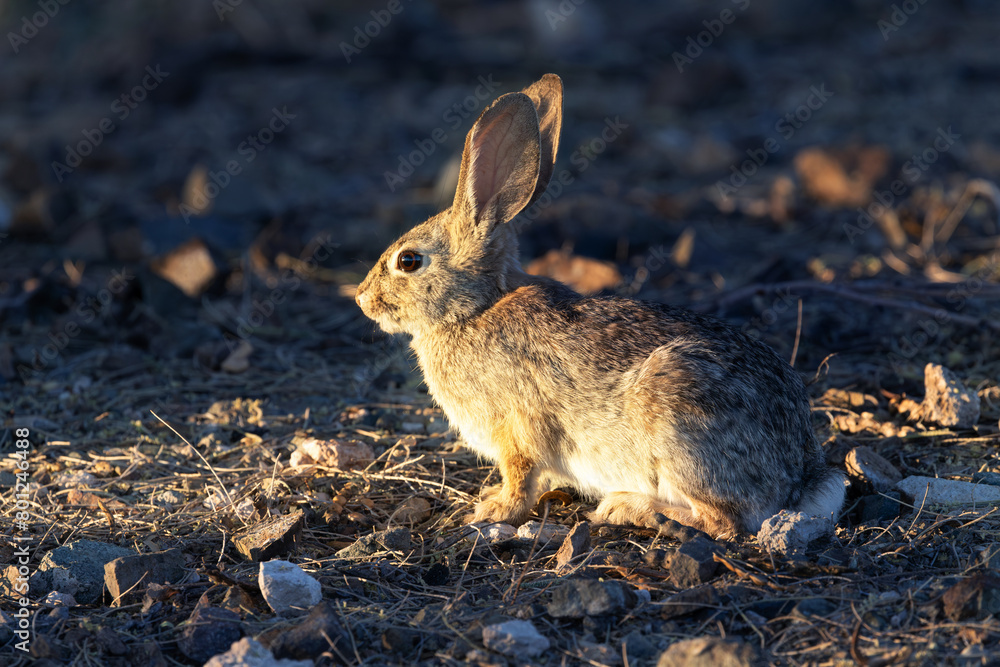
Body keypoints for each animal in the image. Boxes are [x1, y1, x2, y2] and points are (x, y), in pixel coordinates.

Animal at [355, 74, 845, 538]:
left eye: (408, 261)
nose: (361, 298)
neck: (474, 309)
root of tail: (800, 481)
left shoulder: (517, 430)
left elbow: (520, 478)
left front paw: (492, 510)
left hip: (679, 425)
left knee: (725, 521)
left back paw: (628, 507)